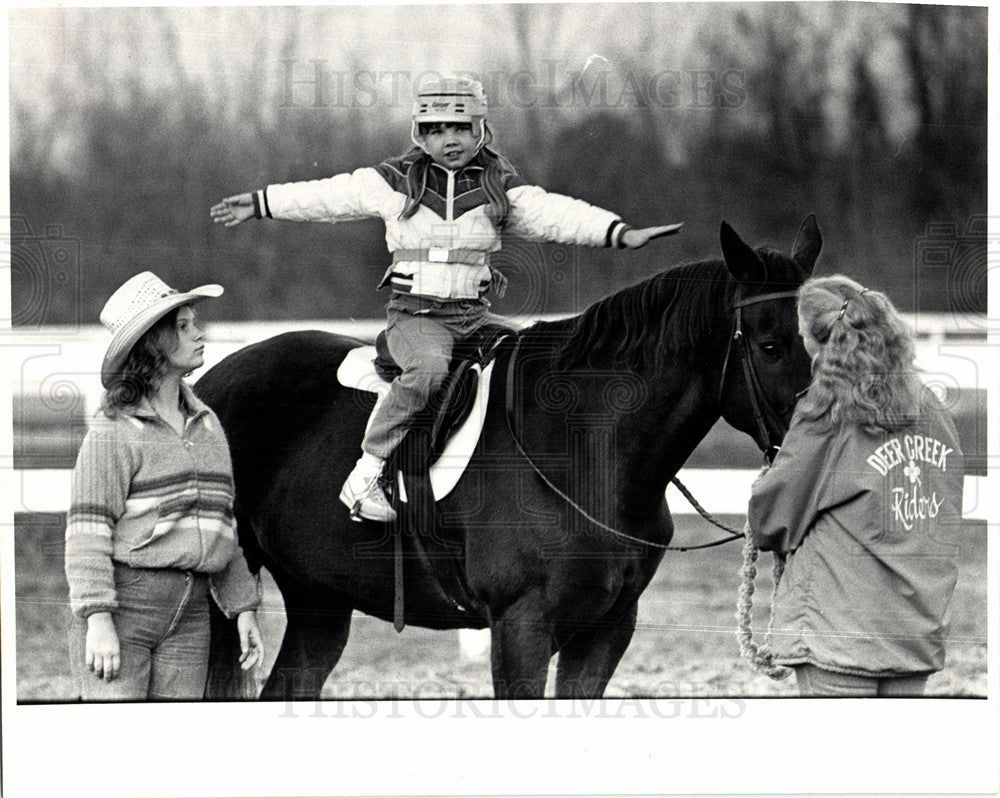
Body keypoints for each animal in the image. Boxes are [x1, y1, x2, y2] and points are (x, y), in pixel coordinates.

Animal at [197, 217, 820, 700]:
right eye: (770, 346)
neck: (585, 450)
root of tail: (207, 384)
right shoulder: (522, 627)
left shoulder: (606, 629)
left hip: (319, 602)